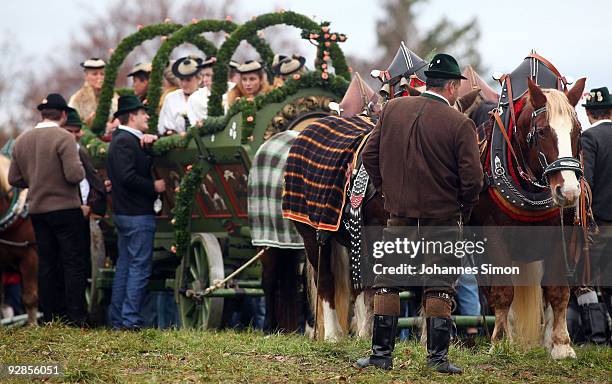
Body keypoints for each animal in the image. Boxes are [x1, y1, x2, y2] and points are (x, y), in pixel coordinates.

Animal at [470, 73, 584, 358]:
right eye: (542, 131)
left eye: (577, 131)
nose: (568, 191)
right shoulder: (493, 234)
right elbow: (502, 292)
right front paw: (501, 342)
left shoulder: (559, 232)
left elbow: (557, 291)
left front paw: (561, 344)